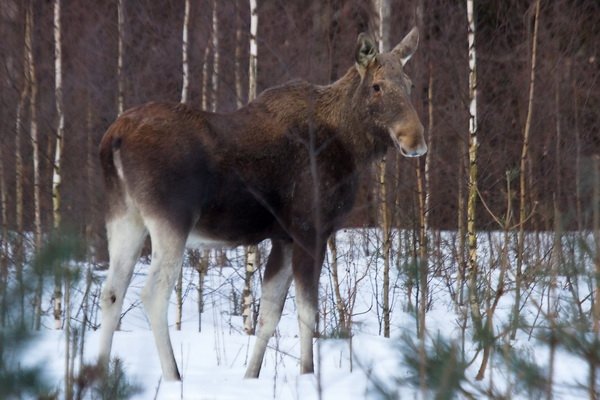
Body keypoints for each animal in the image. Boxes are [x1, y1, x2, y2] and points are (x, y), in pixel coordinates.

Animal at [97, 28, 426, 382]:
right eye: (377, 86)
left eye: (409, 85)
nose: (415, 141)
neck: (351, 148)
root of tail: (113, 140)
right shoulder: (311, 230)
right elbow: (307, 312)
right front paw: (307, 374)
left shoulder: (283, 237)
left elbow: (268, 315)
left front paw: (250, 376)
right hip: (171, 221)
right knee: (153, 294)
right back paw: (173, 376)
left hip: (124, 217)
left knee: (112, 291)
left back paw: (98, 374)